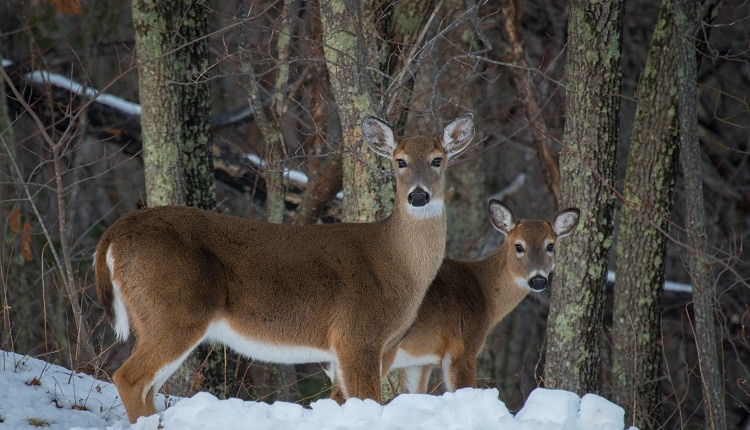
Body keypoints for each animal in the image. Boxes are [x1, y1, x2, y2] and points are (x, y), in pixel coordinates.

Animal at [95, 114, 476, 424]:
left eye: (438, 160)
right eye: (400, 161)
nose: (418, 196)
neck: (396, 263)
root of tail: (113, 234)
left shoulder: (382, 346)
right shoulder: (356, 335)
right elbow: (367, 403)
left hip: (158, 317)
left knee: (147, 387)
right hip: (175, 310)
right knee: (129, 378)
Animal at [388, 200, 580, 394]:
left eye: (550, 246)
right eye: (519, 245)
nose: (538, 279)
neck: (484, 293)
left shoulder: (417, 362)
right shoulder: (462, 349)